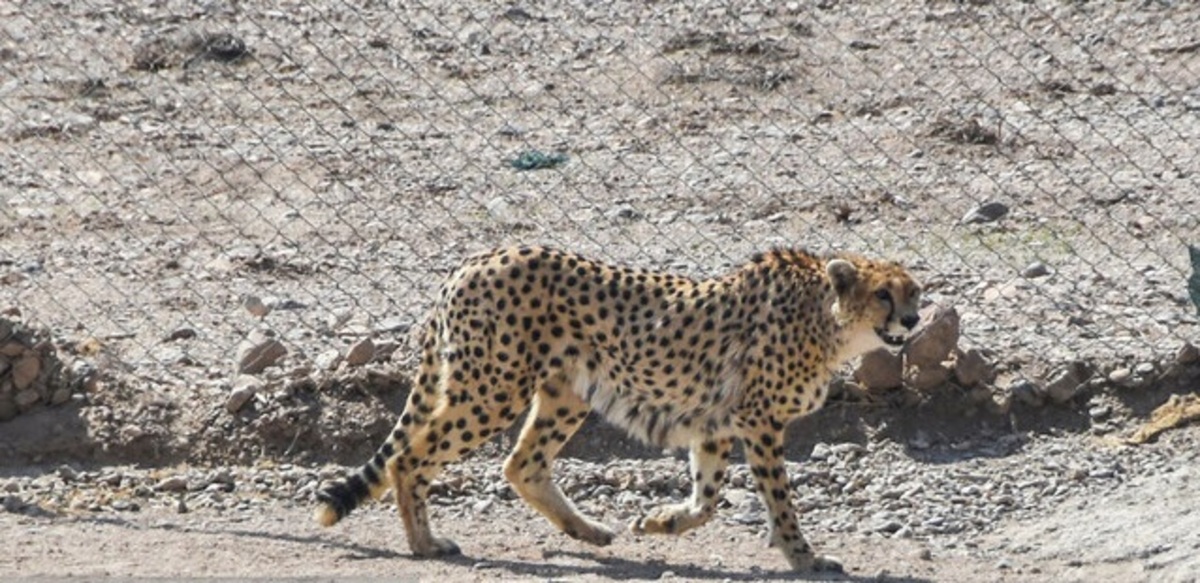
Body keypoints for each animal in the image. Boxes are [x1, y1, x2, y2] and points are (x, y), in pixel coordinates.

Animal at [314, 243, 921, 571]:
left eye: (914, 292)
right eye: (884, 295)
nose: (914, 320)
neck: (830, 320)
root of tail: (479, 257)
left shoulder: (716, 421)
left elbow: (707, 499)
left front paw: (661, 522)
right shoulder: (759, 420)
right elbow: (780, 502)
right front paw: (805, 558)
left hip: (563, 391)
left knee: (522, 464)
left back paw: (588, 532)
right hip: (492, 387)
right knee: (408, 459)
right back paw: (425, 544)